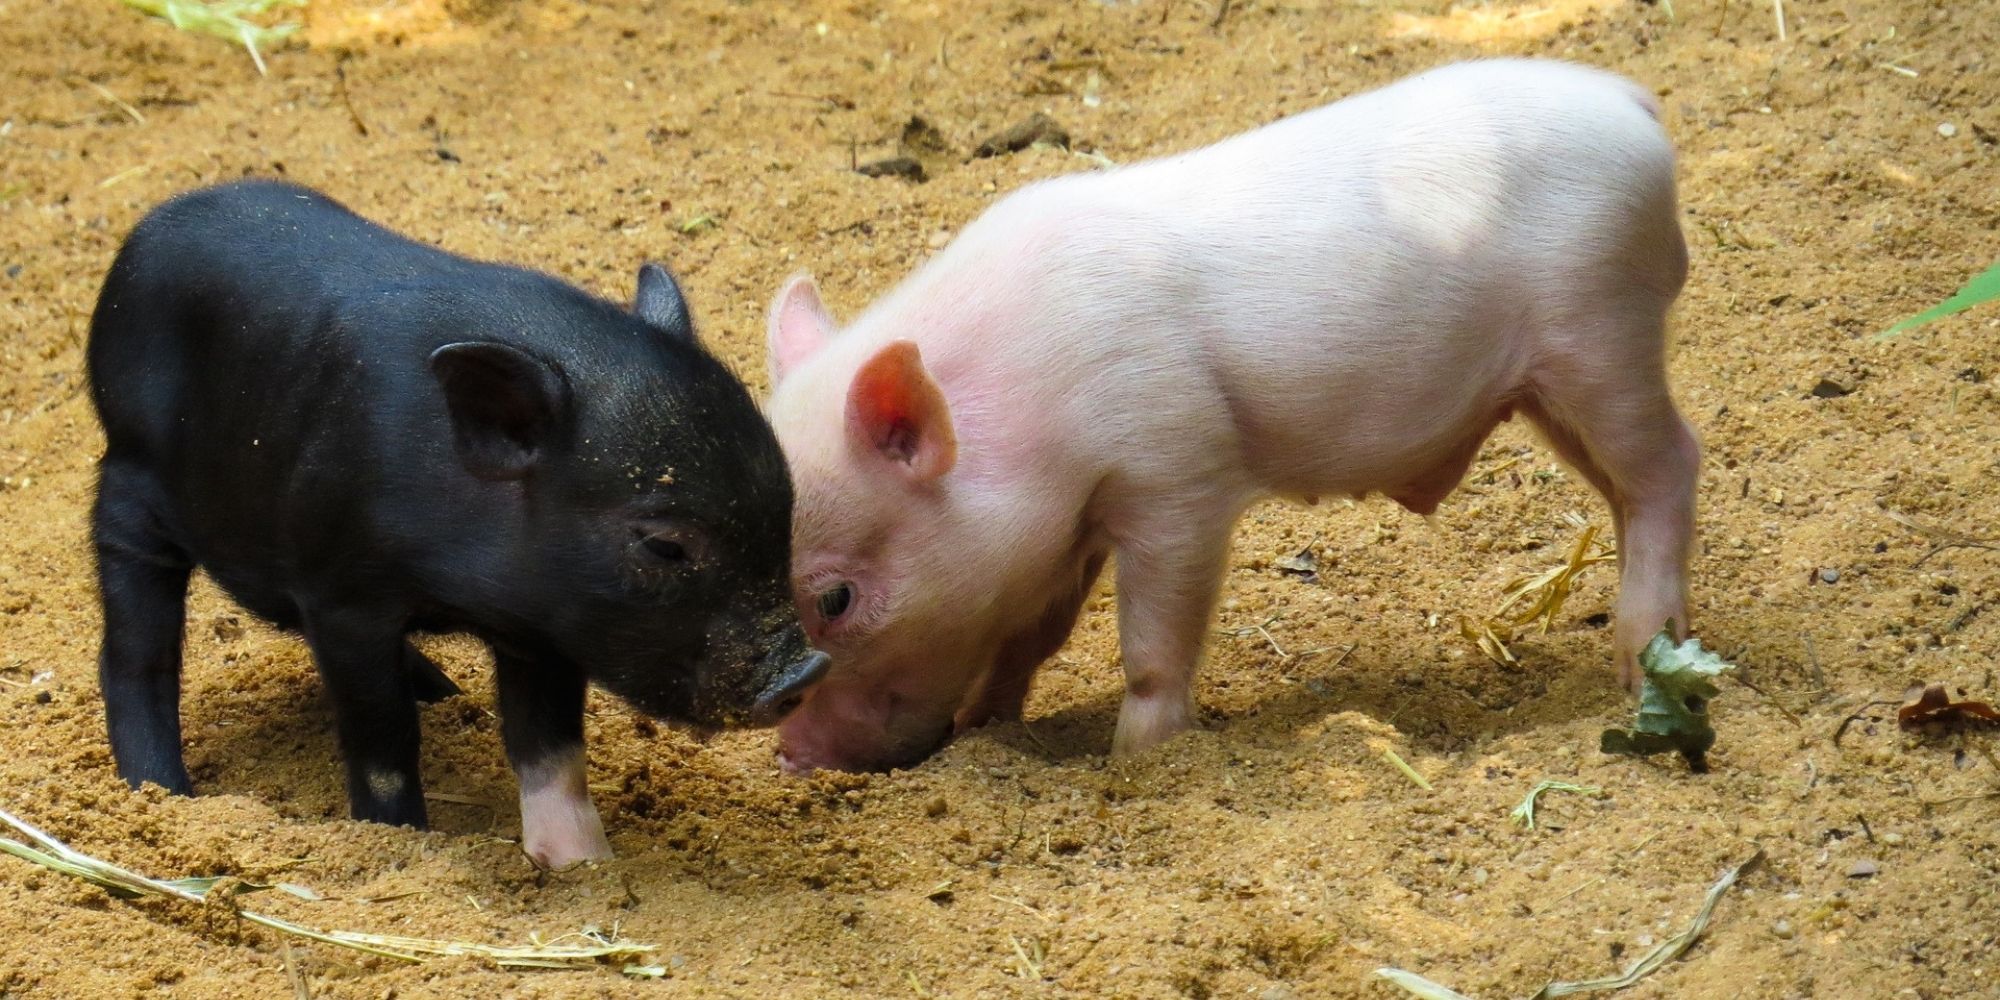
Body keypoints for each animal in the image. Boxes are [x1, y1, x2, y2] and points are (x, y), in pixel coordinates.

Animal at [89, 179, 827, 868]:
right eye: (664, 545)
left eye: (786, 506)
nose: (805, 671)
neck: (462, 592)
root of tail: (149, 230)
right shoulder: (343, 596)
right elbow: (384, 741)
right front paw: (403, 841)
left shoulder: (546, 625)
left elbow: (551, 748)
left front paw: (584, 869)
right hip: (127, 485)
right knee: (136, 654)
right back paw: (161, 792)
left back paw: (444, 691)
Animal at [763, 59, 1698, 773]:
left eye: (836, 598)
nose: (792, 753)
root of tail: (1631, 103)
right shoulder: (1073, 522)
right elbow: (1033, 632)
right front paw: (983, 727)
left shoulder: (1177, 473)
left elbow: (1152, 643)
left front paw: (1135, 760)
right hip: (1549, 386)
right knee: (1621, 491)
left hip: (1601, 329)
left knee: (1669, 465)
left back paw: (1640, 665)